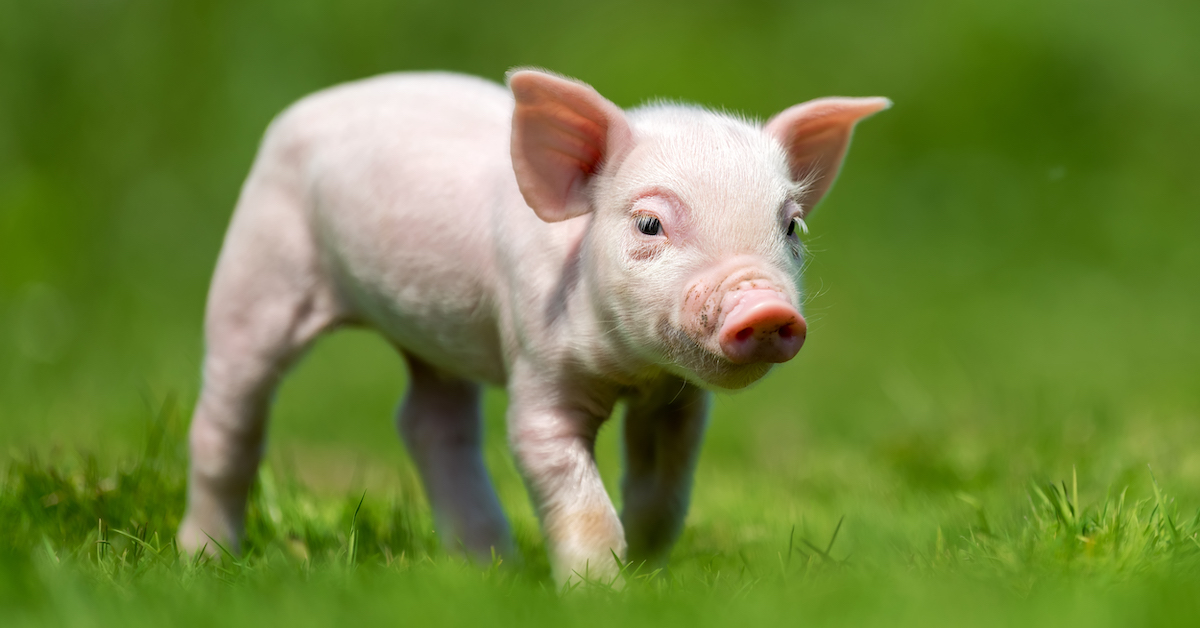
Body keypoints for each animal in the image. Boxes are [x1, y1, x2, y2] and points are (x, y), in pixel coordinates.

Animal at [177, 68, 888, 585]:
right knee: (229, 414)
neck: (631, 372)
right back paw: (204, 561)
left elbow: (663, 492)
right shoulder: (537, 365)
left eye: (792, 225)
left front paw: (647, 573)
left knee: (429, 422)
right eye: (648, 223)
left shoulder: (676, 402)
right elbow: (560, 473)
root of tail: (307, 107)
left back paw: (489, 568)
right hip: (258, 269)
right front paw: (601, 592)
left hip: (431, 335)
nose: (764, 307)